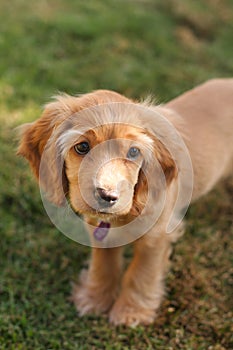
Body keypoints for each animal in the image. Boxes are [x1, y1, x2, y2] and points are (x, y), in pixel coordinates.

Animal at [17, 78, 233, 326]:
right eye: (82, 147)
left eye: (133, 152)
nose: (107, 197)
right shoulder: (99, 229)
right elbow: (104, 264)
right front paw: (94, 298)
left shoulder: (156, 236)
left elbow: (141, 273)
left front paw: (132, 311)